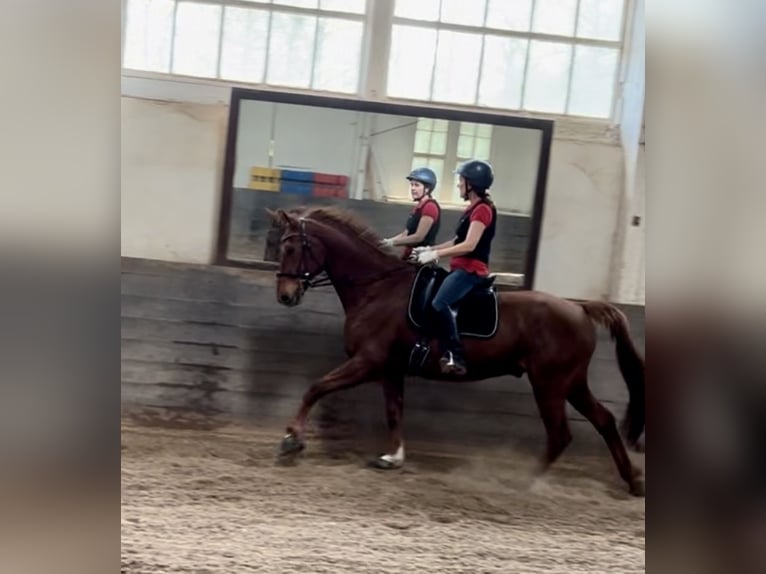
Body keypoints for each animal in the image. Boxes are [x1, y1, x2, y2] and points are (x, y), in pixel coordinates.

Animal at [268, 208, 644, 500]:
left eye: (292, 247)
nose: (285, 296)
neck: (376, 289)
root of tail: (579, 308)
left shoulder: (367, 362)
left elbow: (316, 387)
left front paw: (291, 440)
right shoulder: (390, 369)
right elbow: (394, 412)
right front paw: (393, 458)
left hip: (550, 384)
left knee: (560, 434)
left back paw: (525, 481)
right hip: (572, 383)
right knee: (604, 421)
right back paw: (633, 482)